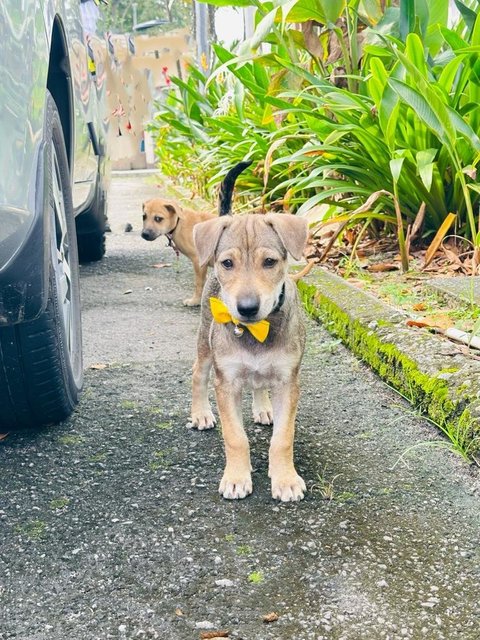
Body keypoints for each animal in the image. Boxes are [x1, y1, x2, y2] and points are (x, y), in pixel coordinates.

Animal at [190, 212, 308, 502]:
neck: (256, 331)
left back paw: (263, 408)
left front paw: (286, 479)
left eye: (269, 262)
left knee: (259, 383)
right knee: (198, 373)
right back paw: (200, 413)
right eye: (227, 263)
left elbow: (283, 438)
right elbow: (235, 437)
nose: (247, 308)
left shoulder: (288, 383)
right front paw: (236, 478)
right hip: (206, 341)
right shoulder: (226, 383)